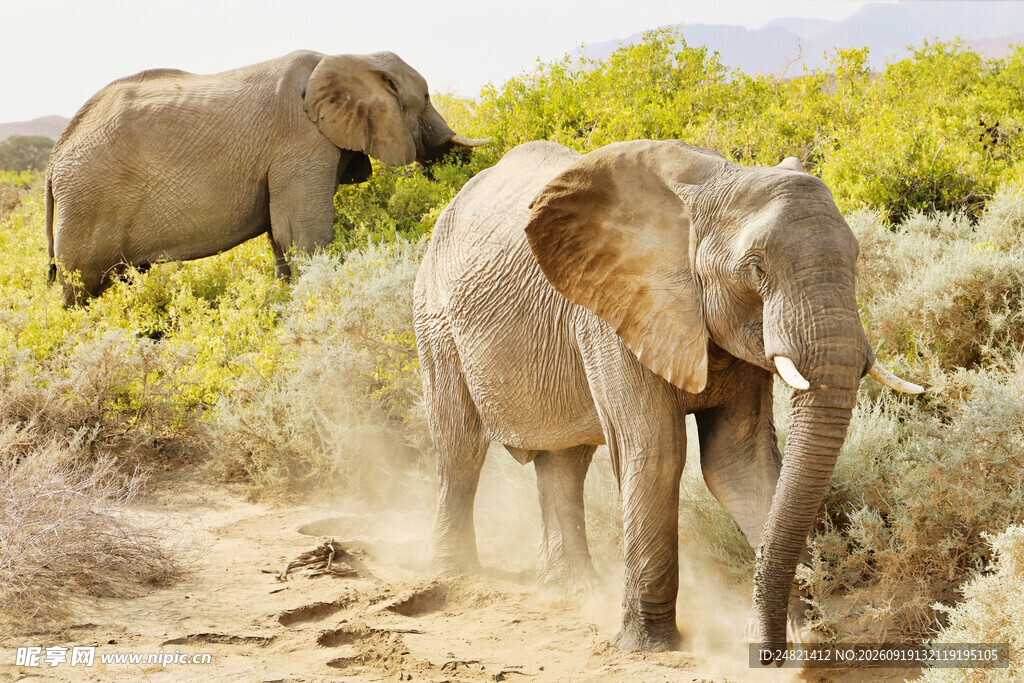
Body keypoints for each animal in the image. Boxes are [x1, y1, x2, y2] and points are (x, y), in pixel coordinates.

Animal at [45, 50, 487, 305]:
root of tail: (52, 162)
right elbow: (304, 234)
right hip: (88, 203)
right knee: (80, 288)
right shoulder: (300, 142)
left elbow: (282, 233)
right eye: (426, 98)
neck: (349, 56)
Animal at [412, 140, 923, 662]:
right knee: (460, 448)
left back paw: (571, 592)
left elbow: (739, 462)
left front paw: (796, 640)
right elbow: (657, 452)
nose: (768, 652)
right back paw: (456, 575)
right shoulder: (612, 313)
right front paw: (648, 646)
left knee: (565, 462)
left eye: (856, 259)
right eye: (756, 268)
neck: (713, 186)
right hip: (434, 318)